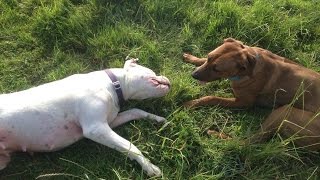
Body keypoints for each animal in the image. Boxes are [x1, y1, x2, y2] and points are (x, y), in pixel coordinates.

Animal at [0, 58, 170, 176]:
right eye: (153, 71)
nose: (170, 81)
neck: (113, 84)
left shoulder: (110, 122)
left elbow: (136, 111)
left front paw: (156, 119)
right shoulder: (95, 128)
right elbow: (130, 146)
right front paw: (148, 166)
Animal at [184, 38, 320, 150]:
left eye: (217, 69)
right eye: (209, 57)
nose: (194, 75)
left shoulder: (243, 103)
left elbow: (211, 98)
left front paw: (192, 103)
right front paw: (192, 58)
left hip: (284, 112)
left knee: (247, 143)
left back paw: (216, 134)